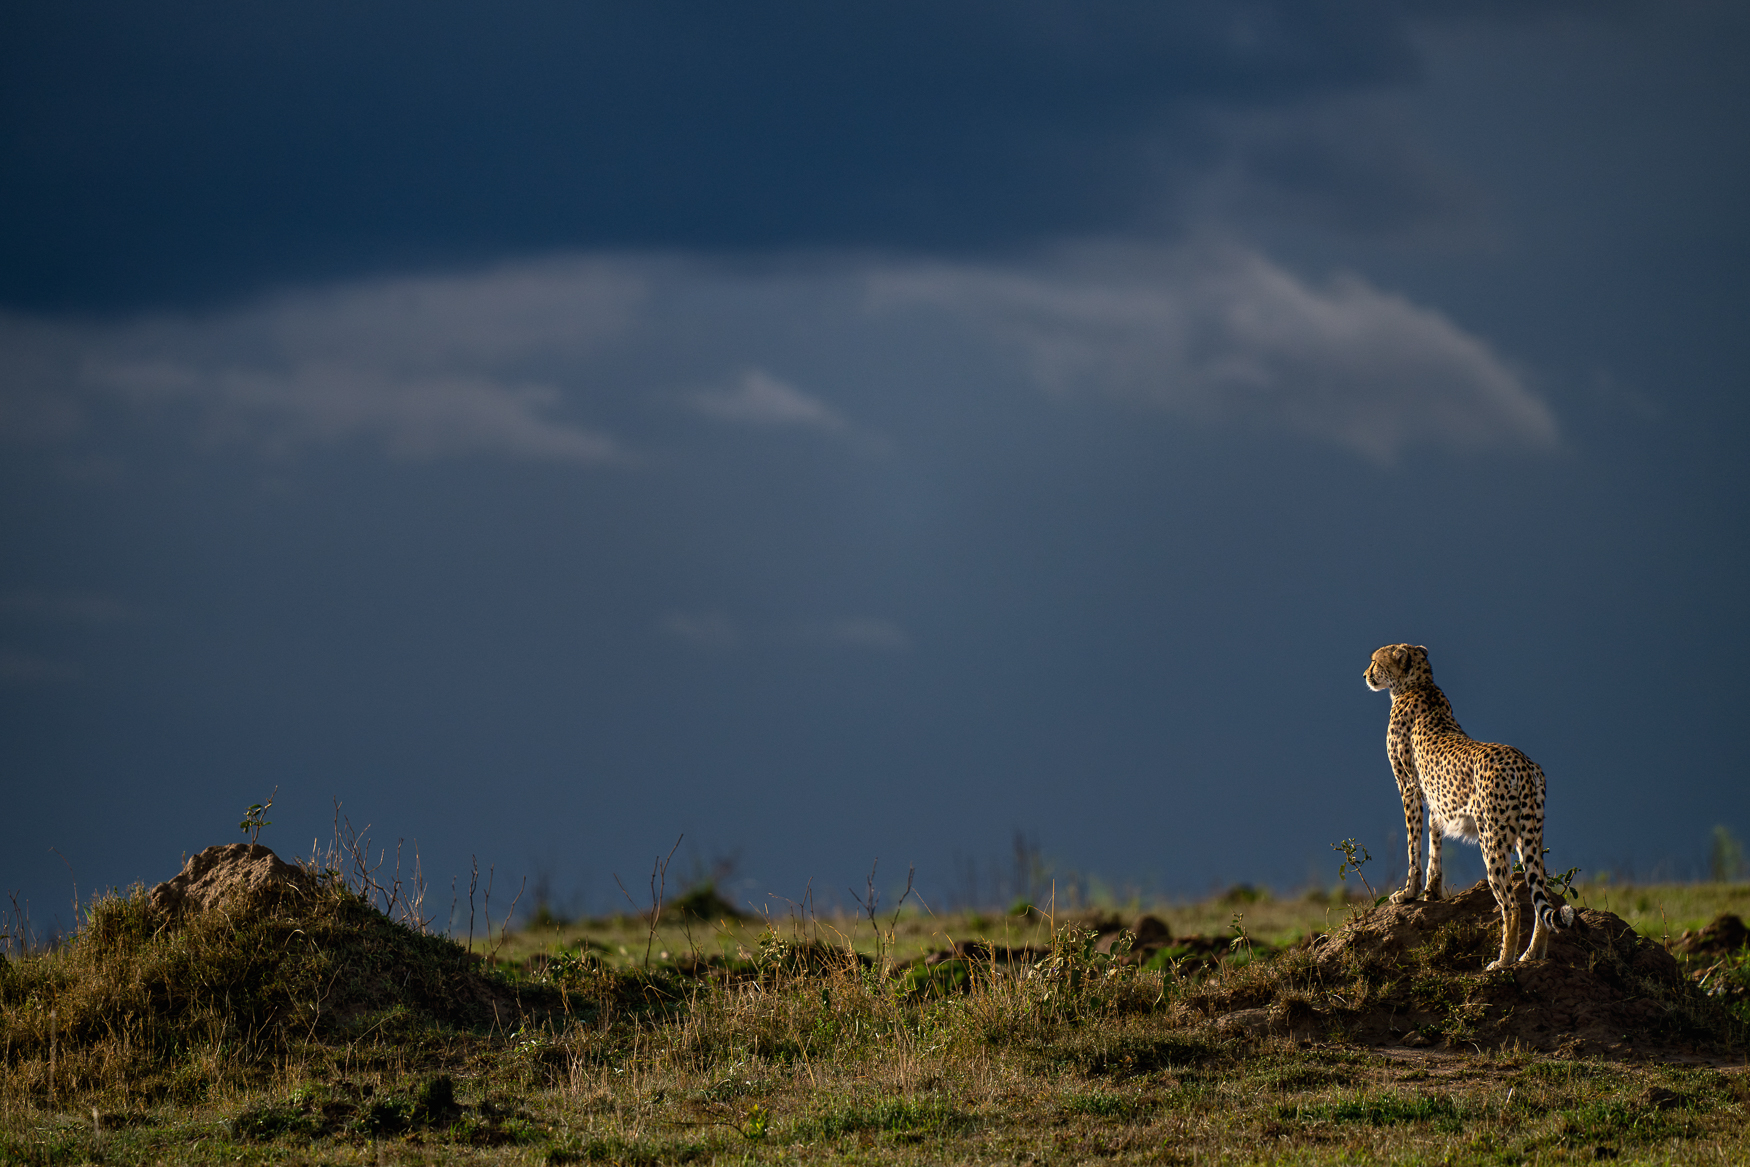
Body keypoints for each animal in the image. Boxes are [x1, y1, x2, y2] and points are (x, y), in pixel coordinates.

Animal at [1365, 647, 1575, 965]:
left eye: (1375, 661)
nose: (1365, 675)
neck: (1415, 684)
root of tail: (1522, 762)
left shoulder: (1409, 787)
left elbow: (1413, 845)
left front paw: (1408, 892)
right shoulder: (1437, 800)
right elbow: (1435, 842)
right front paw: (1432, 892)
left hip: (1491, 837)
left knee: (1511, 904)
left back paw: (1503, 960)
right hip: (1530, 836)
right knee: (1541, 895)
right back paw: (1532, 955)